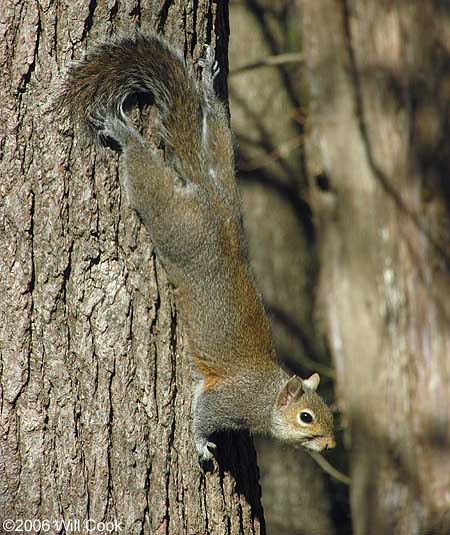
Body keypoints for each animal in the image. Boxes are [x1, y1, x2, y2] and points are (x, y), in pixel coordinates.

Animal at [57, 31, 334, 462]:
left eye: (327, 413)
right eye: (306, 417)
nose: (331, 443)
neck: (268, 395)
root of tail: (210, 198)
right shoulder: (230, 401)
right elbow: (203, 414)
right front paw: (202, 444)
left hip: (224, 170)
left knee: (215, 126)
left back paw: (208, 87)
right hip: (174, 223)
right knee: (147, 175)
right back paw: (123, 132)